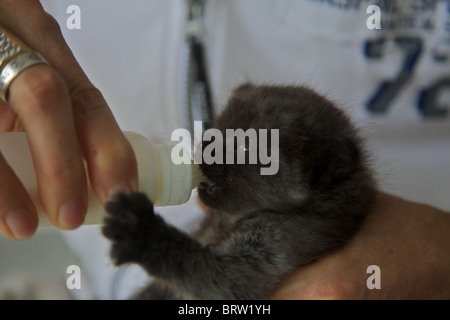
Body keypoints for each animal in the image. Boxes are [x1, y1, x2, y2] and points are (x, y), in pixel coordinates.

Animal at [102, 84, 376, 298]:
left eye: (245, 148)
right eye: (217, 128)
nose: (205, 146)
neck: (231, 219)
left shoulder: (272, 250)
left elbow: (204, 270)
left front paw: (140, 231)